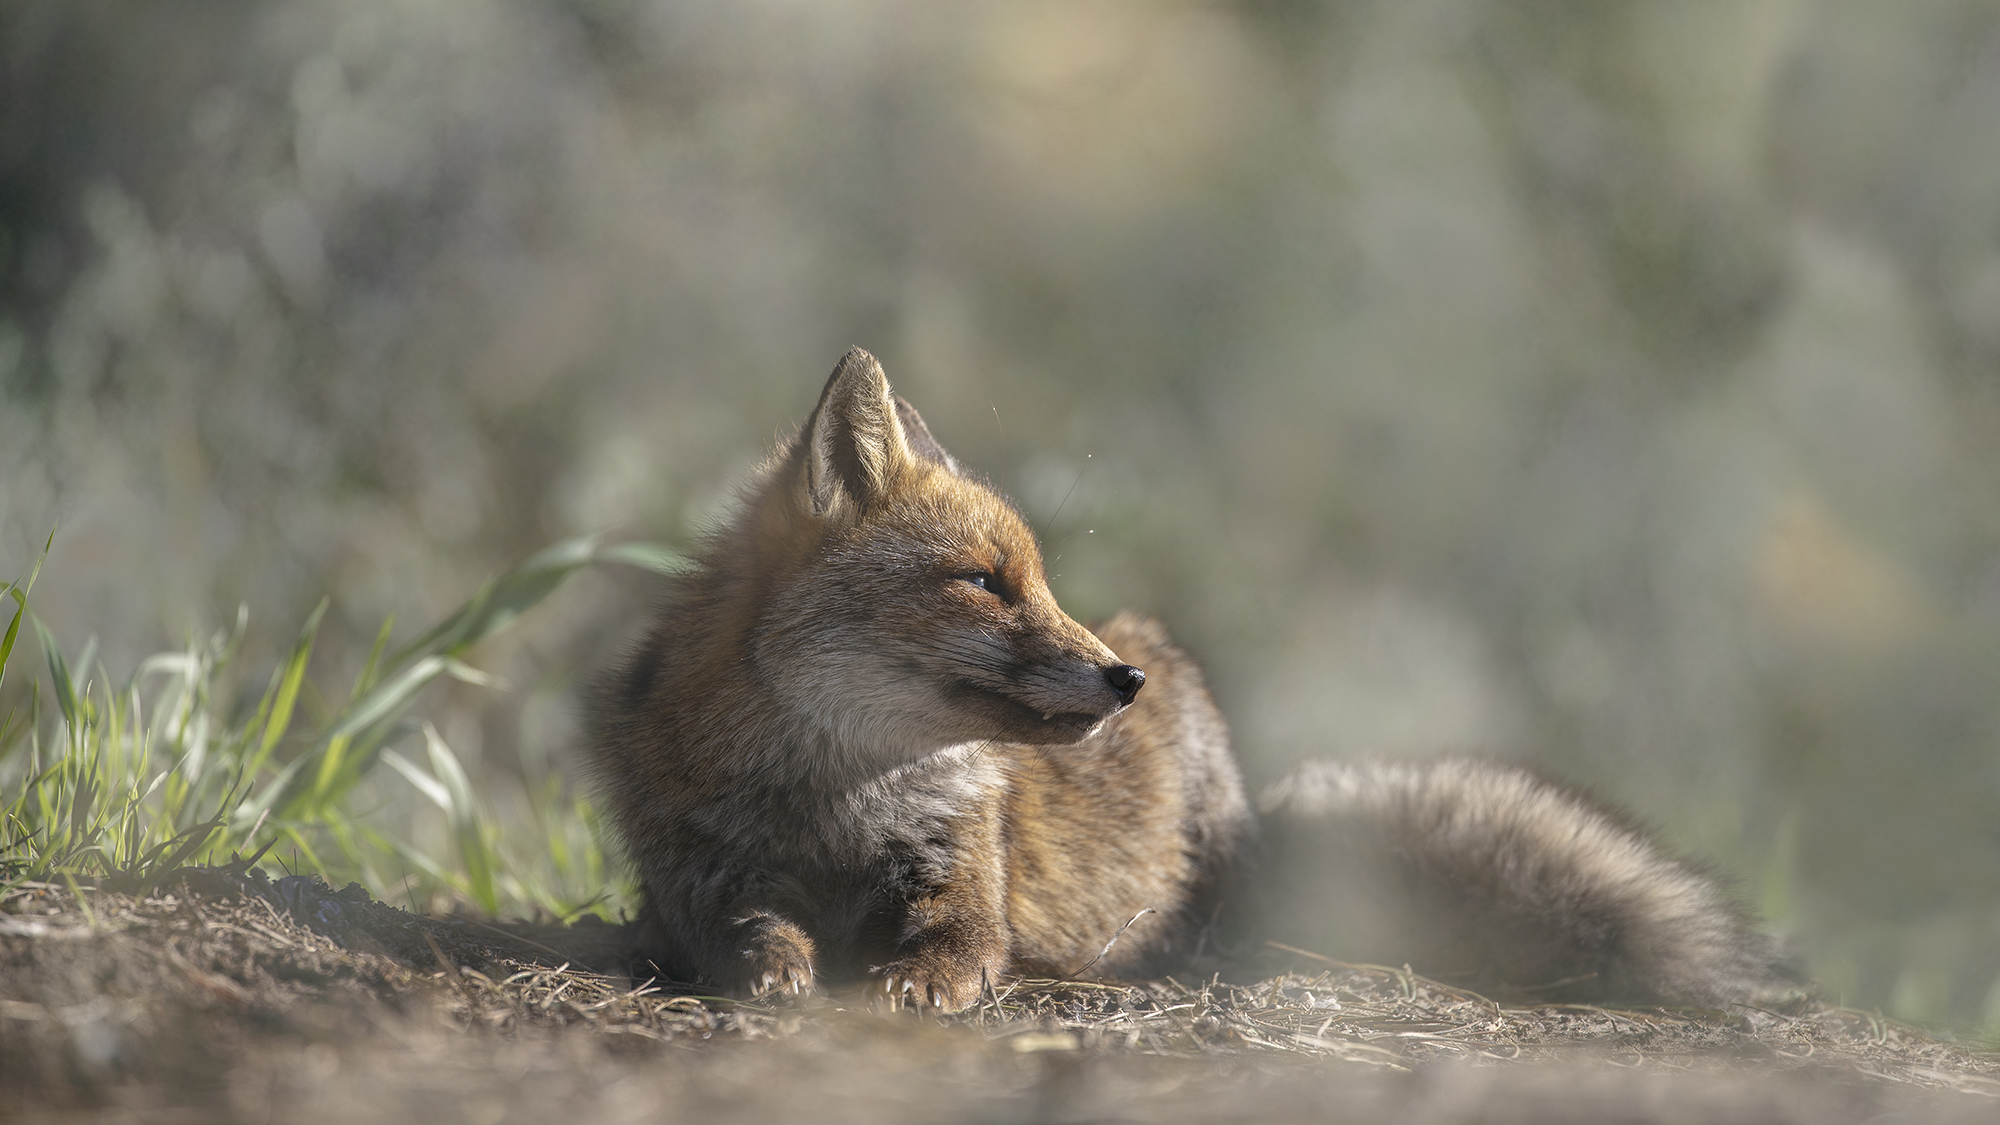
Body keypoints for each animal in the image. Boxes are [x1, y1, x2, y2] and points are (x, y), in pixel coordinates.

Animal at [588, 347, 1787, 1011]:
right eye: (984, 581)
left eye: (1040, 578)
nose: (1120, 681)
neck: (837, 801)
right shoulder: (705, 872)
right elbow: (744, 929)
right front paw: (774, 963)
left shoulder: (962, 877)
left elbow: (959, 943)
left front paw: (920, 981)